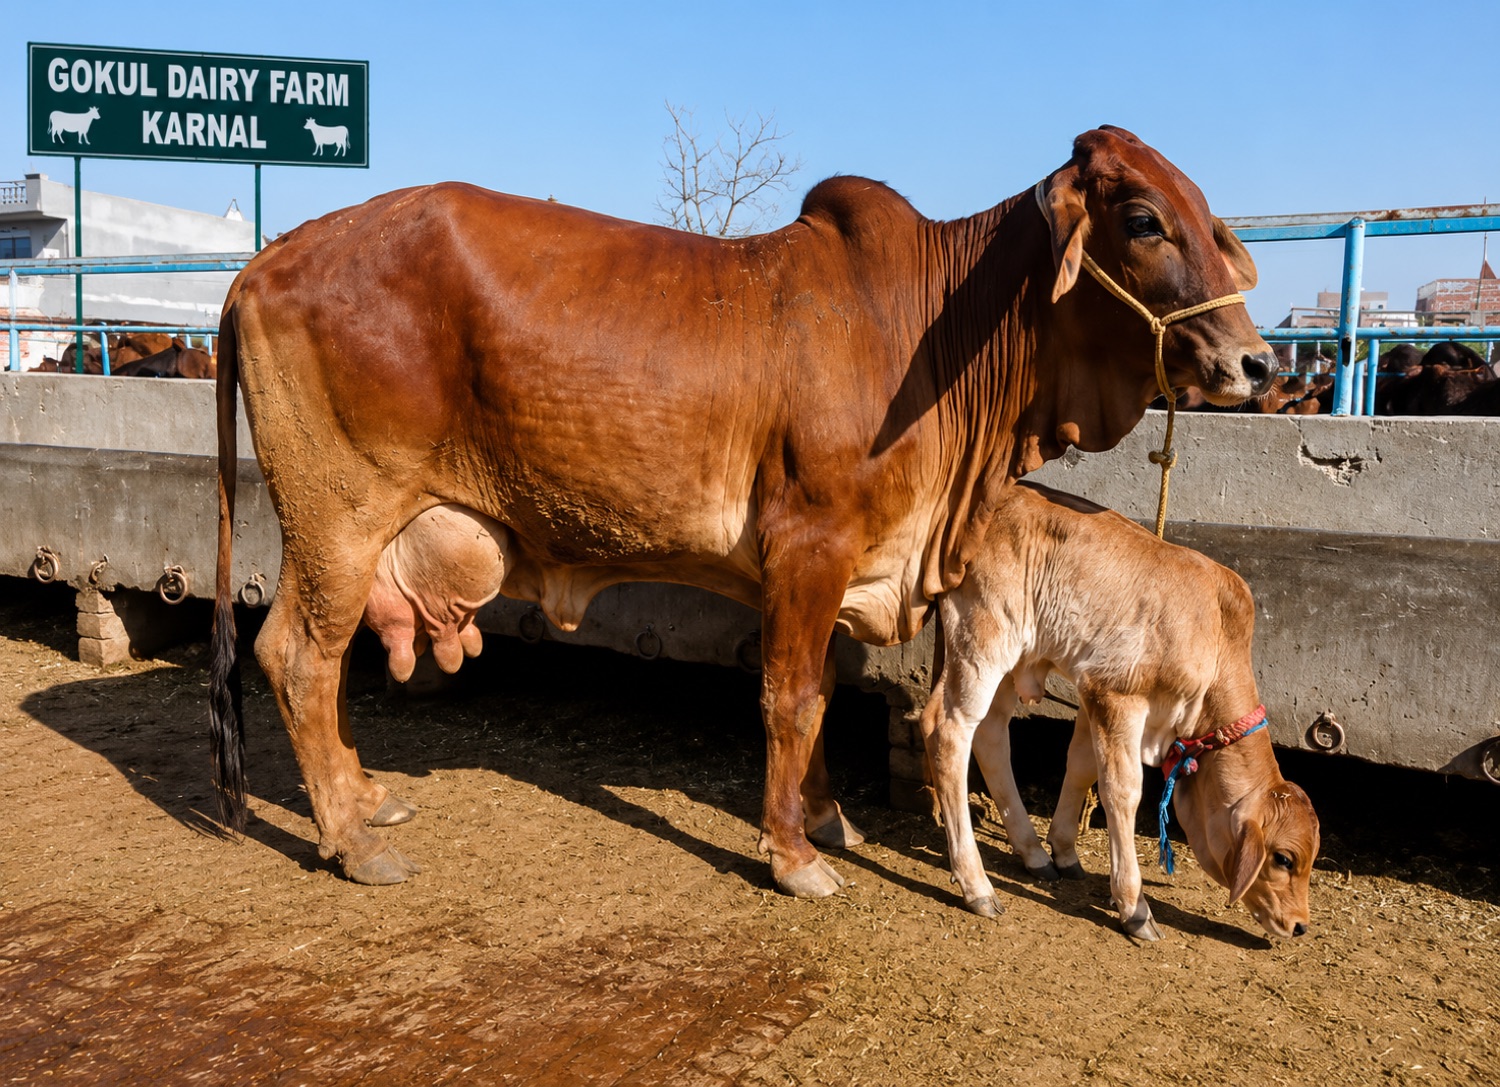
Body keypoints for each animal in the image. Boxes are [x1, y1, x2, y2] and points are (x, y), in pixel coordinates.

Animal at [210, 126, 1276, 895]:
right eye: (1144, 219)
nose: (1257, 362)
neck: (934, 333)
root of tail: (265, 261)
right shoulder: (809, 544)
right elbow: (792, 698)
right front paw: (793, 856)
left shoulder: (841, 567)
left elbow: (823, 694)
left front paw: (827, 819)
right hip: (337, 516)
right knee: (296, 655)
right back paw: (351, 839)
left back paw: (365, 796)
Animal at [919, 481, 1319, 939]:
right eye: (1283, 859)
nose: (1300, 925)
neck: (1215, 636)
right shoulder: (1116, 694)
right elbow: (1122, 791)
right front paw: (1134, 907)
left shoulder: (1092, 693)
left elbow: (1081, 766)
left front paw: (1064, 849)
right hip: (983, 639)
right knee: (948, 728)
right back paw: (977, 886)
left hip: (1015, 657)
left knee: (991, 735)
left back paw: (1032, 853)